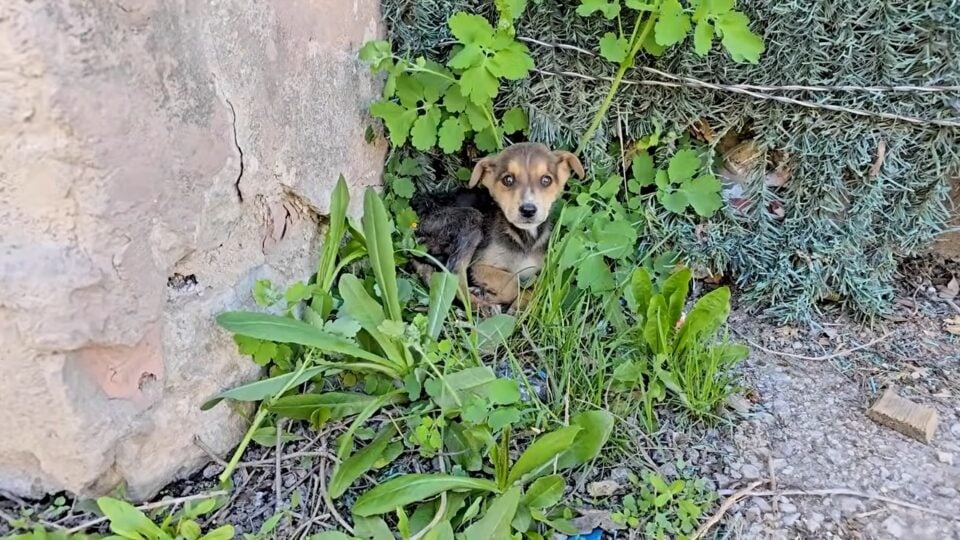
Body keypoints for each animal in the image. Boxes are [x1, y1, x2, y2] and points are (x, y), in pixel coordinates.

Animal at [410, 141, 584, 310]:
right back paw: (480, 305)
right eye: (508, 179)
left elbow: (532, 291)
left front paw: (519, 305)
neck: (522, 238)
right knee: (455, 278)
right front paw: (492, 296)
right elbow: (512, 281)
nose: (528, 210)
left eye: (546, 180)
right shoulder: (478, 266)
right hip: (469, 219)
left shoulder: (539, 273)